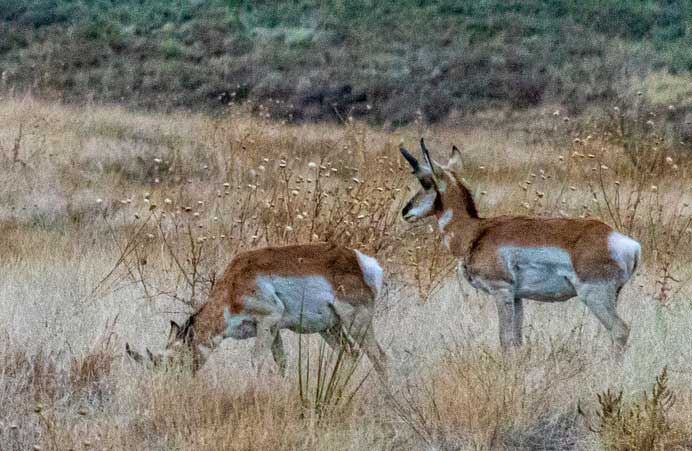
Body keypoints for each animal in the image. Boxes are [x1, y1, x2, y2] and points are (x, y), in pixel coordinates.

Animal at [126, 245, 386, 376]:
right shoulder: (275, 329)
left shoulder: (268, 321)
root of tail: (360, 261)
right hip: (329, 327)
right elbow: (281, 362)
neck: (233, 287)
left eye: (174, 360)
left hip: (356, 320)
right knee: (351, 353)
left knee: (379, 357)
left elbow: (256, 361)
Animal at [400, 139, 644, 352]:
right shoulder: (517, 297)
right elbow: (517, 340)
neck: (476, 231)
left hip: (593, 296)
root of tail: (625, 242)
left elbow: (505, 339)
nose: (405, 212)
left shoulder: (501, 291)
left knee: (620, 330)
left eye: (426, 182)